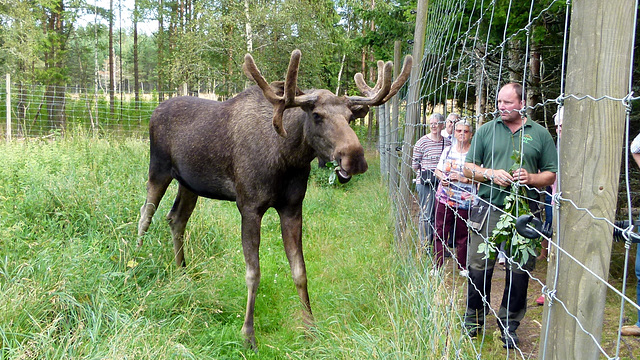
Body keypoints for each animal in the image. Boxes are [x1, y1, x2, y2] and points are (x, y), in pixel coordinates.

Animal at [138, 49, 412, 348]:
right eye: (317, 115)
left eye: (351, 116)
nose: (355, 158)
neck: (287, 157)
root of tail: (153, 111)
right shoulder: (249, 206)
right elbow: (253, 273)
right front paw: (248, 334)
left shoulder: (292, 208)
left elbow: (300, 271)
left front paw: (310, 328)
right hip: (158, 169)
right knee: (145, 215)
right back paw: (136, 261)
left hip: (189, 184)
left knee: (176, 219)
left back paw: (183, 273)